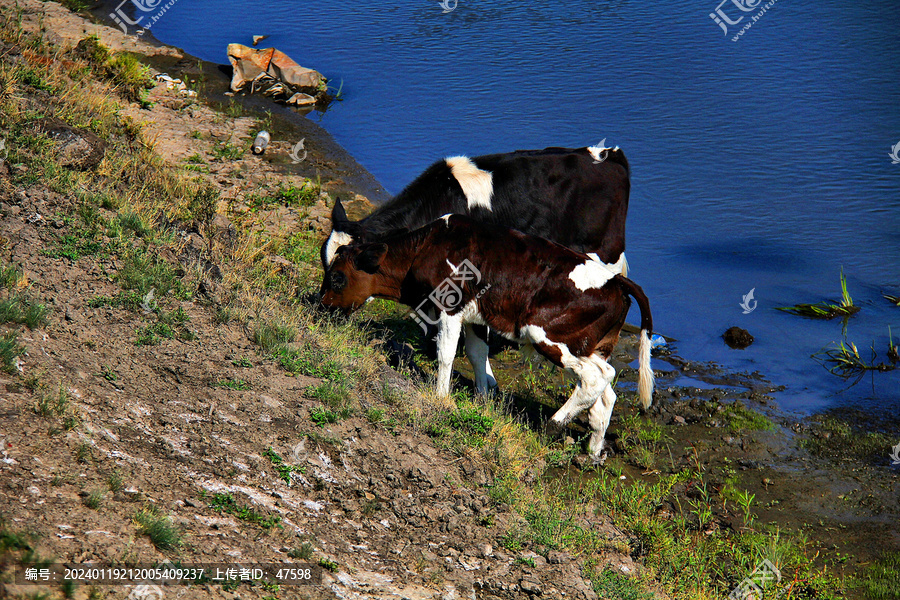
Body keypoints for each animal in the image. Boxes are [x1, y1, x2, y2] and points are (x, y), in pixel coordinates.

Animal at [320, 213, 652, 462]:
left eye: (337, 277)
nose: (319, 306)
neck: (426, 248)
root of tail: (617, 280)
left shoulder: (450, 306)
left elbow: (446, 354)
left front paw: (441, 398)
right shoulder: (476, 317)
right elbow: (476, 354)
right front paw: (482, 400)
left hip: (551, 336)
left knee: (597, 378)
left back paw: (553, 425)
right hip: (596, 346)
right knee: (605, 393)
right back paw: (593, 451)